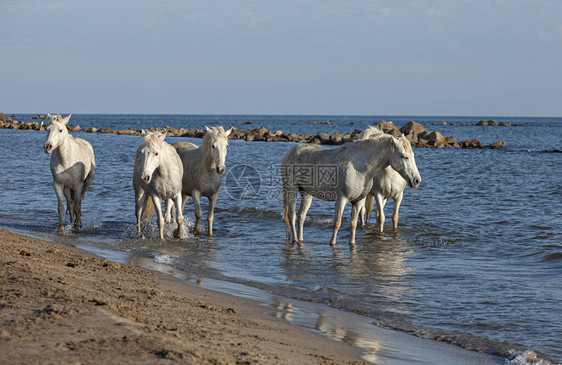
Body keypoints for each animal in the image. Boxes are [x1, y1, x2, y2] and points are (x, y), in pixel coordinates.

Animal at [282, 131, 418, 245]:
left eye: (413, 155)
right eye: (405, 156)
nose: (416, 180)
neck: (360, 168)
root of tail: (290, 152)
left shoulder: (358, 201)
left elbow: (353, 224)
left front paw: (352, 244)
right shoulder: (341, 199)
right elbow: (337, 223)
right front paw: (332, 243)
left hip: (306, 194)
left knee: (301, 217)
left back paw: (300, 239)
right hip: (292, 190)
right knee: (292, 216)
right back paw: (295, 240)